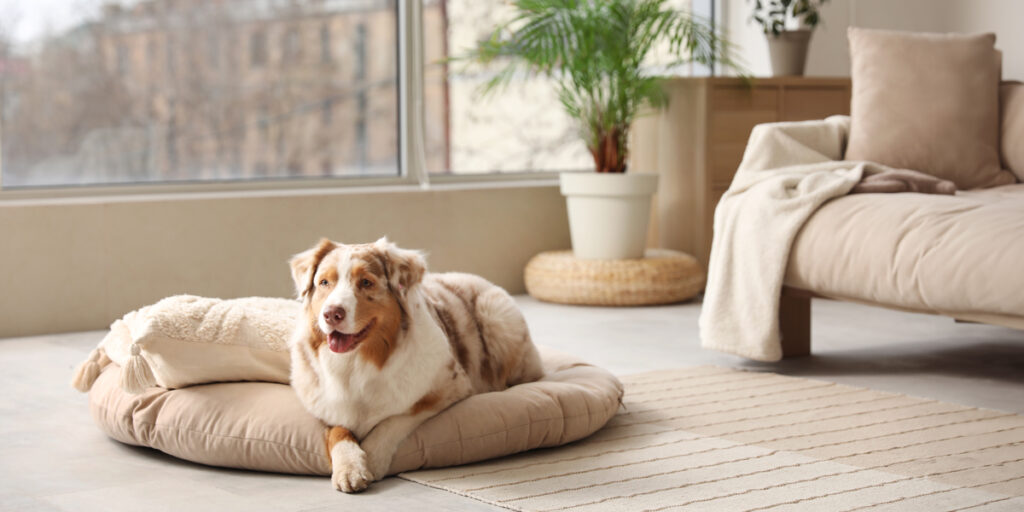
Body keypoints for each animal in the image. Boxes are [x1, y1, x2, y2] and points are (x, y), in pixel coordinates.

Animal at [286, 236, 544, 491]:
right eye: (324, 282)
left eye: (366, 282)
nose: (331, 314)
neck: (357, 363)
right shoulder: (325, 406)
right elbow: (338, 432)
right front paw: (350, 468)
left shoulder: (451, 386)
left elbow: (396, 418)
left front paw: (372, 459)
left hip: (495, 315)